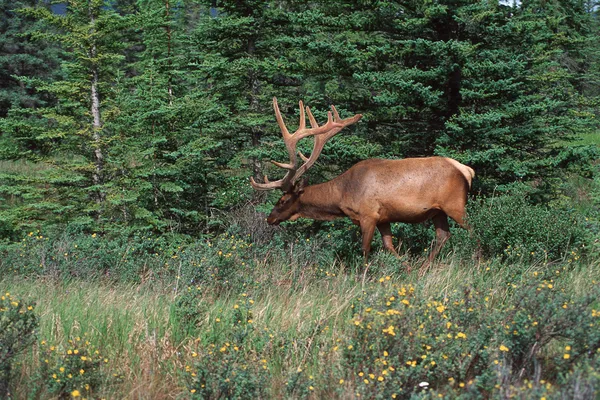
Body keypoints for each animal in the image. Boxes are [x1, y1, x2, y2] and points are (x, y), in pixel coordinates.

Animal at [250, 98, 474, 264]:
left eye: (282, 201)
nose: (270, 218)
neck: (342, 195)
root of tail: (467, 170)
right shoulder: (384, 218)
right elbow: (389, 247)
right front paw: (406, 268)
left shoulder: (368, 215)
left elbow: (365, 251)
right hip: (438, 212)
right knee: (442, 236)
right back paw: (423, 267)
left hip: (455, 205)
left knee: (473, 231)